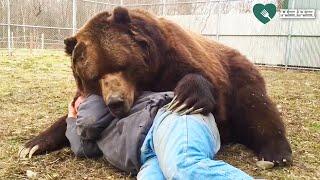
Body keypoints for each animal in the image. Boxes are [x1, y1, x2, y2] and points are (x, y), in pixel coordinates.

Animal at [23, 7, 292, 166]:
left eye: (121, 65)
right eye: (94, 76)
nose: (116, 102)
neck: (148, 77)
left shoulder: (176, 59)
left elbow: (206, 89)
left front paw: (187, 98)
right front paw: (32, 145)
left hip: (242, 75)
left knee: (256, 107)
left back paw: (276, 153)